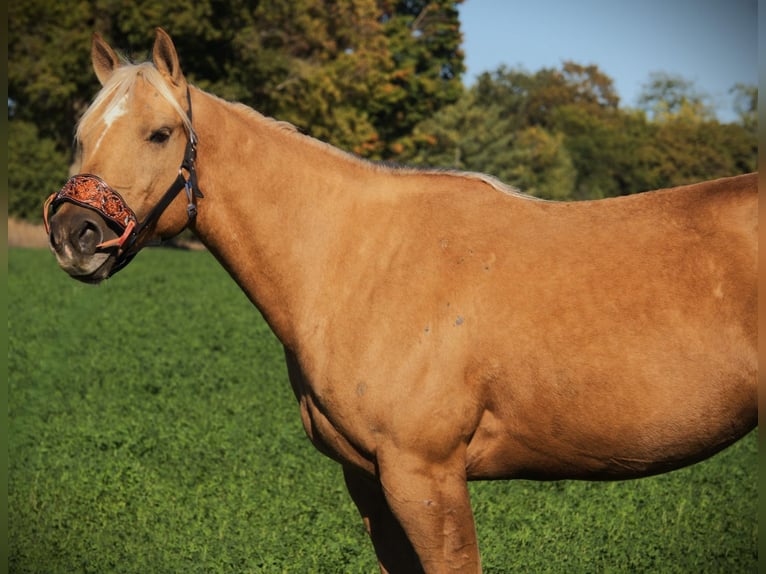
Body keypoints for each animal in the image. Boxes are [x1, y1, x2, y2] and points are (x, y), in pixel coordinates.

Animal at [45, 28, 757, 573]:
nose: (76, 235)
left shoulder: (426, 479)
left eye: (161, 133)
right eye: (81, 134)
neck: (359, 262)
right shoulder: (369, 482)